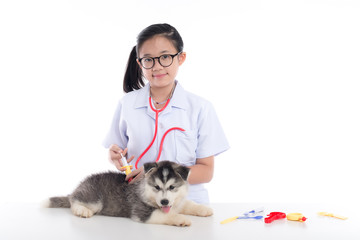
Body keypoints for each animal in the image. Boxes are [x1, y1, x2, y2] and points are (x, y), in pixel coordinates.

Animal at [46, 160, 212, 226]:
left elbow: (188, 204)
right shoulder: (141, 212)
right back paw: (82, 210)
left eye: (172, 187)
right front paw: (181, 219)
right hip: (94, 199)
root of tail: (80, 185)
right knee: (74, 201)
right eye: (156, 187)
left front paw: (204, 209)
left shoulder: (177, 201)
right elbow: (166, 215)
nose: (164, 202)